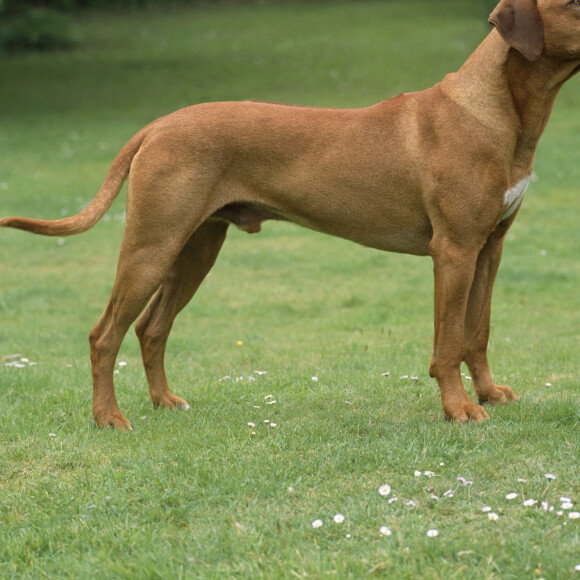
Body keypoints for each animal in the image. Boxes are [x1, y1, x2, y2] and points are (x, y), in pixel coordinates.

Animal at [1, 0, 580, 426]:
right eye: (572, 2)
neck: (495, 110)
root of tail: (157, 124)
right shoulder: (454, 250)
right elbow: (449, 341)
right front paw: (458, 409)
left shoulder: (489, 247)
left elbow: (477, 332)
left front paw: (487, 393)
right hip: (152, 245)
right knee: (105, 334)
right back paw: (108, 417)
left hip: (196, 248)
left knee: (150, 328)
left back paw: (165, 402)